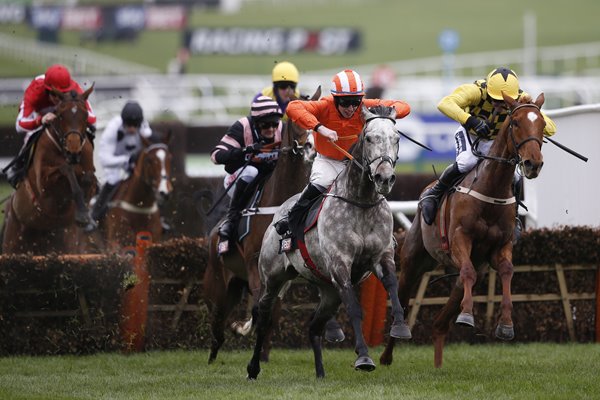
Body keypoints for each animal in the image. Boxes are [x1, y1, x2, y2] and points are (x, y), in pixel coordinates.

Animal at [2, 87, 96, 255]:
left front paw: (84, 212)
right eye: (61, 115)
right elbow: (66, 169)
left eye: (85, 115)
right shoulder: (44, 185)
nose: (73, 149)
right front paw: (82, 213)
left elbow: (88, 178)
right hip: (12, 240)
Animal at [203, 89, 326, 364]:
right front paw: (243, 328)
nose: (311, 147)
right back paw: (213, 355)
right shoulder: (254, 262)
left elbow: (271, 311)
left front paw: (263, 352)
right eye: (296, 119)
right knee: (217, 319)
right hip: (218, 284)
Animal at [247, 104, 412, 380]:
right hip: (272, 279)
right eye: (369, 138)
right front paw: (363, 357)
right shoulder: (340, 264)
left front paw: (400, 326)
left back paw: (320, 373)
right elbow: (355, 309)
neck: (362, 202)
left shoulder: (382, 255)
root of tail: (277, 215)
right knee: (264, 317)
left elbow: (391, 285)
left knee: (314, 326)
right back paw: (253, 368)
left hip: (328, 291)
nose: (384, 178)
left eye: (397, 138)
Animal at [380, 92, 548, 368]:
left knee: (442, 318)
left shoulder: (501, 246)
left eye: (542, 124)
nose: (532, 163)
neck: (491, 189)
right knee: (402, 300)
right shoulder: (460, 238)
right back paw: (388, 352)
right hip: (414, 260)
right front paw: (467, 317)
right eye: (515, 123)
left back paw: (437, 358)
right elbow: (468, 271)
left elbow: (506, 271)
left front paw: (505, 325)